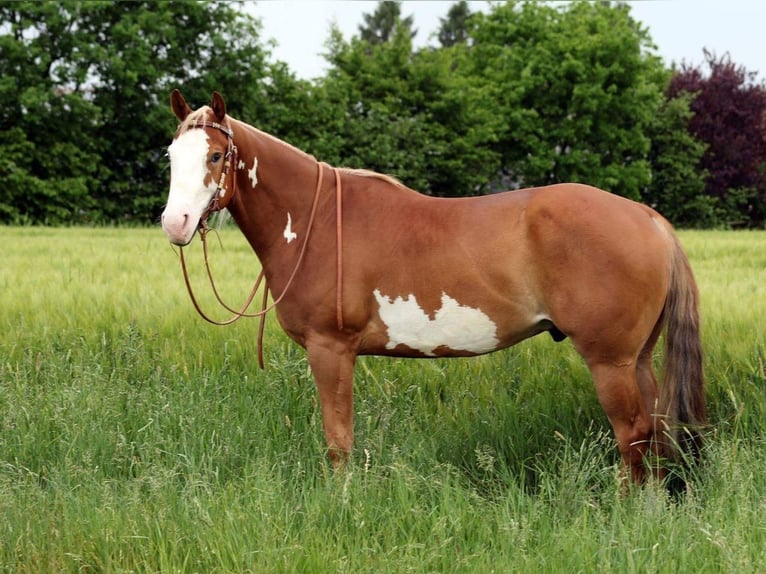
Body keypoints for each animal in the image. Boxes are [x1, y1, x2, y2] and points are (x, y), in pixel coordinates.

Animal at [161, 90, 707, 486]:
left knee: (633, 436)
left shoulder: (330, 349)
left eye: (215, 155)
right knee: (656, 433)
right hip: (637, 359)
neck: (315, 222)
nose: (175, 223)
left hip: (610, 362)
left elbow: (339, 441)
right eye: (171, 156)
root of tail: (649, 219)